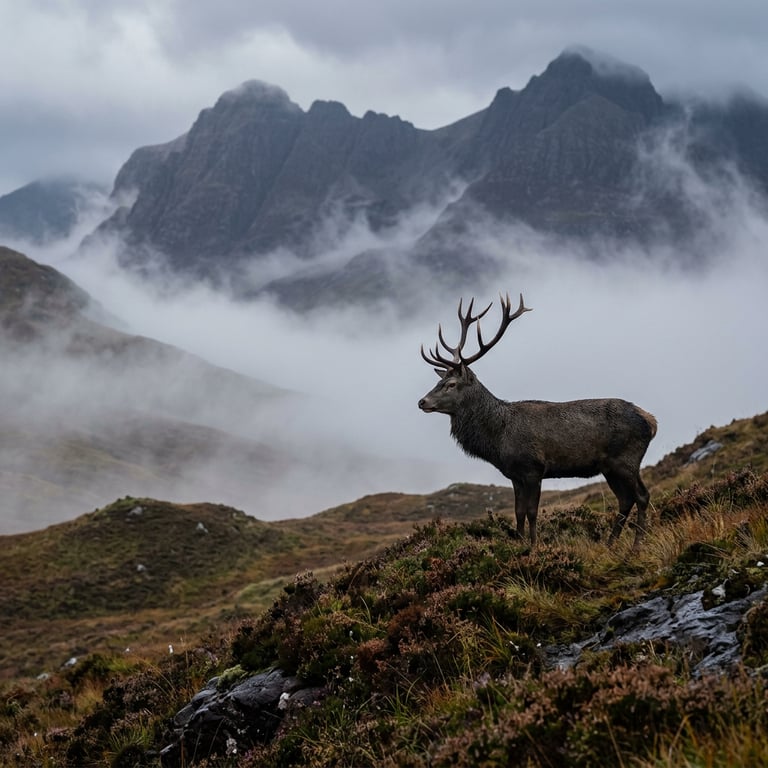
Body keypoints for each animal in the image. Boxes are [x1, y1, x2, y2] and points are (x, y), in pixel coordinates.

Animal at [418, 292, 657, 549]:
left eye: (451, 384)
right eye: (438, 382)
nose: (422, 401)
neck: (498, 439)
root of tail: (651, 421)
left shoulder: (533, 468)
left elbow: (532, 511)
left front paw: (533, 547)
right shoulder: (514, 475)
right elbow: (518, 512)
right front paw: (520, 544)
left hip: (626, 459)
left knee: (641, 496)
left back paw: (636, 546)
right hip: (609, 467)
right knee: (625, 500)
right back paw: (609, 544)